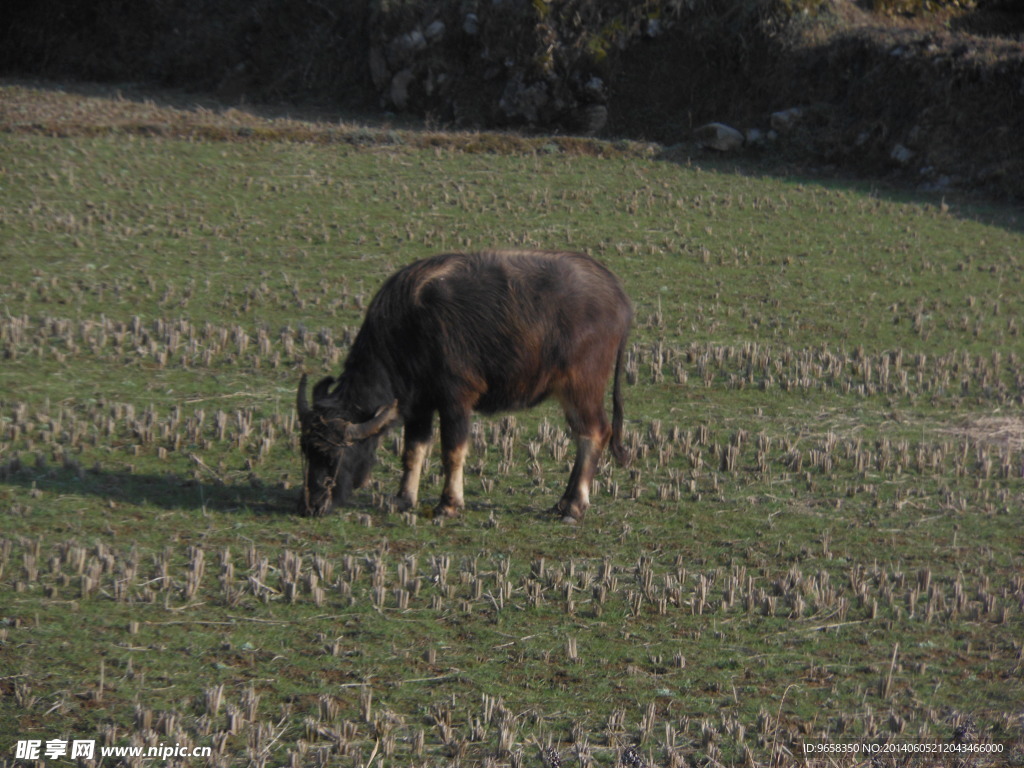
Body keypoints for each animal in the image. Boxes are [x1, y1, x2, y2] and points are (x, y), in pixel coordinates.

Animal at [296, 250, 630, 524]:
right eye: (306, 449)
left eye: (332, 455)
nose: (312, 506)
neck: (409, 329)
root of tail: (616, 293)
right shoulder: (419, 405)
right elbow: (413, 450)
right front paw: (403, 499)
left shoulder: (455, 400)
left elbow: (452, 451)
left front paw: (449, 505)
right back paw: (562, 503)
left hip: (581, 387)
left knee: (594, 433)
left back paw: (573, 507)